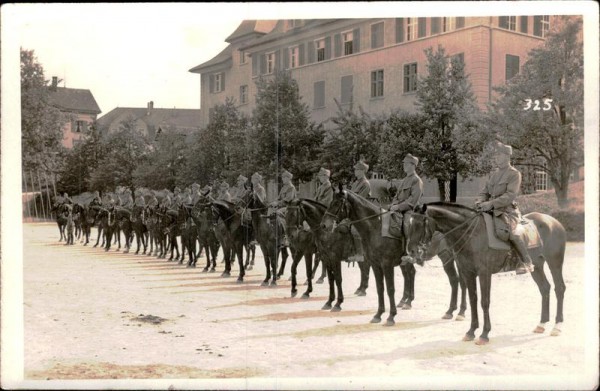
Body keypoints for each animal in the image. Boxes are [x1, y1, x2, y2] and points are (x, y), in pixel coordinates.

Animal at [404, 204, 568, 344]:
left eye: (419, 224)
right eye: (408, 225)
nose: (411, 251)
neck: (472, 233)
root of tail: (553, 221)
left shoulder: (484, 273)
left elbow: (484, 301)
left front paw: (484, 334)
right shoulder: (469, 273)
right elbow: (473, 300)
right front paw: (471, 331)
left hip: (554, 263)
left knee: (559, 288)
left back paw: (557, 326)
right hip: (537, 266)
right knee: (545, 288)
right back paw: (542, 324)